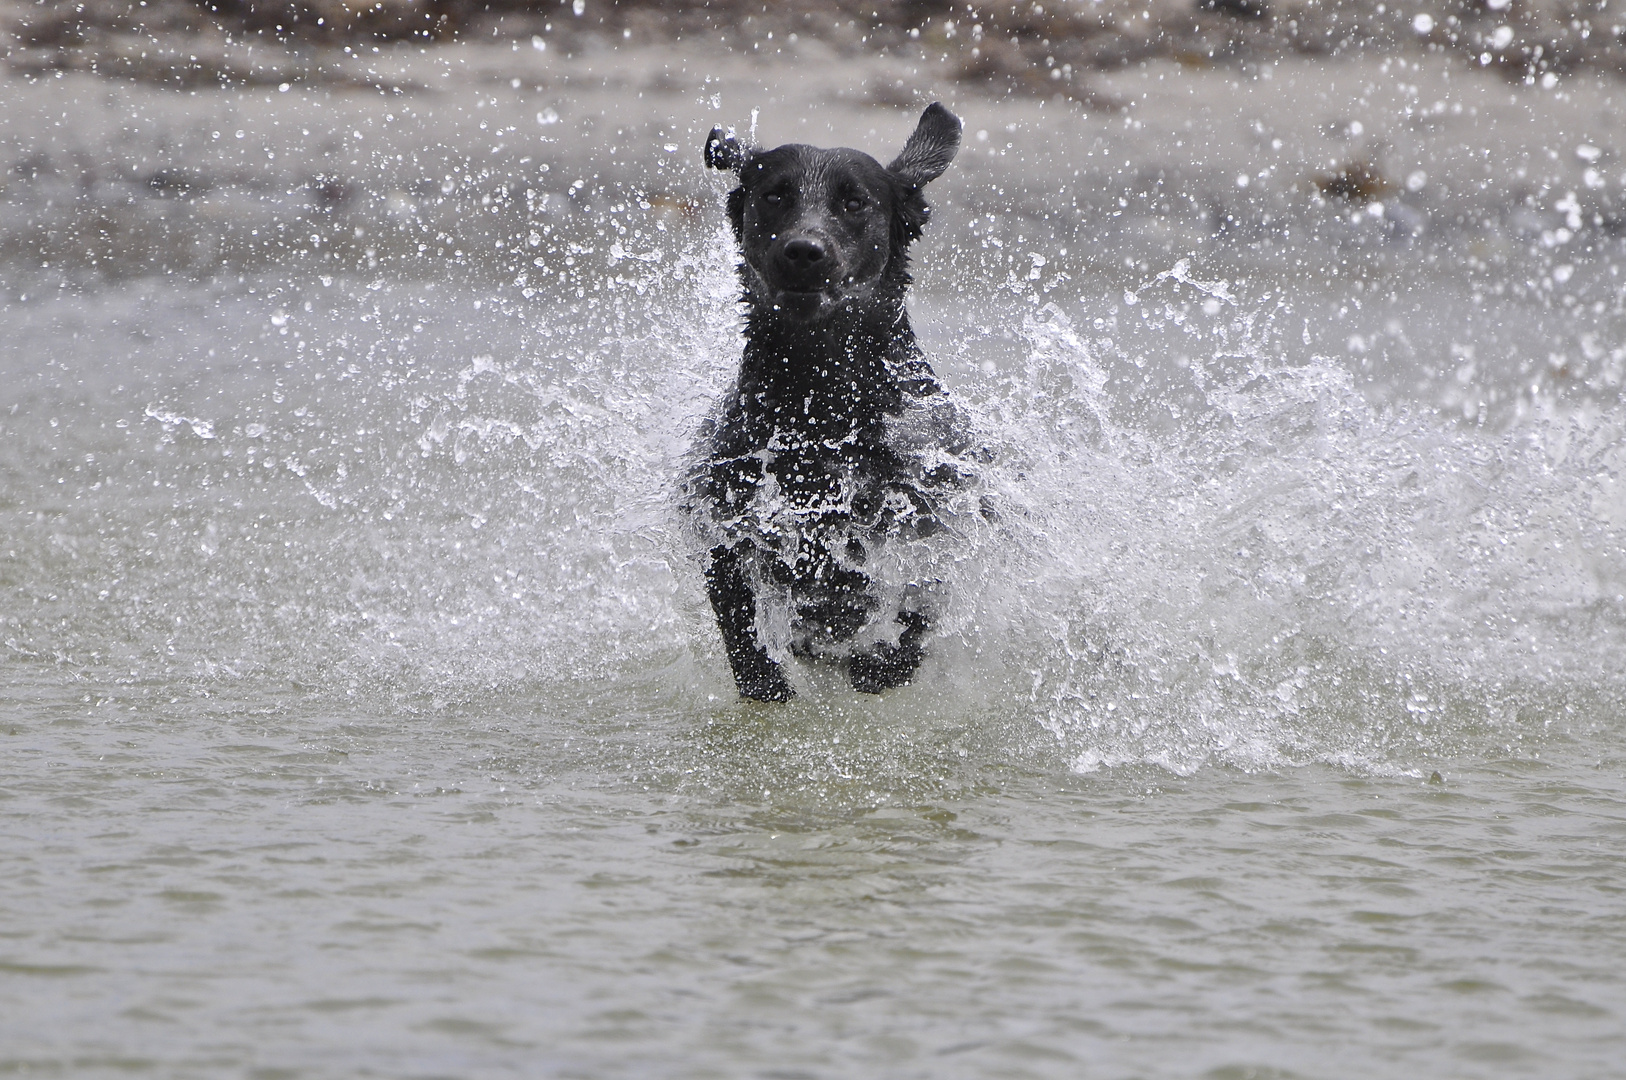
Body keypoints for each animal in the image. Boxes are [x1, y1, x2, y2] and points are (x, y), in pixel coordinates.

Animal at [686, 105, 975, 705]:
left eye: (855, 202)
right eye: (774, 194)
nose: (803, 250)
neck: (820, 407)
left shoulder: (929, 516)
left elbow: (918, 605)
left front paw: (881, 664)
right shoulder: (728, 515)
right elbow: (739, 613)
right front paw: (765, 681)